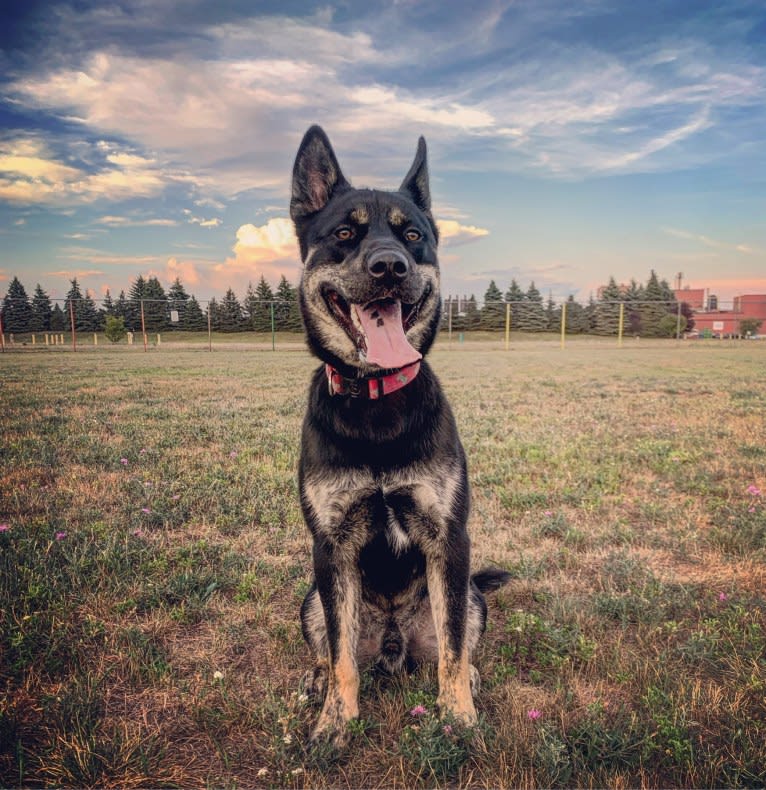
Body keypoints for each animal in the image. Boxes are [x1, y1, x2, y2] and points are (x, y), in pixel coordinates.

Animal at [292, 125, 512, 748]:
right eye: (344, 233)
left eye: (413, 236)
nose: (390, 266)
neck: (377, 401)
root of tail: (393, 642)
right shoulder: (331, 547)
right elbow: (342, 656)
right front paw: (335, 722)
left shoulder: (448, 539)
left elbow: (454, 652)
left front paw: (458, 715)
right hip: (311, 597)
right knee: (331, 649)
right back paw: (318, 680)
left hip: (469, 592)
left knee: (453, 643)